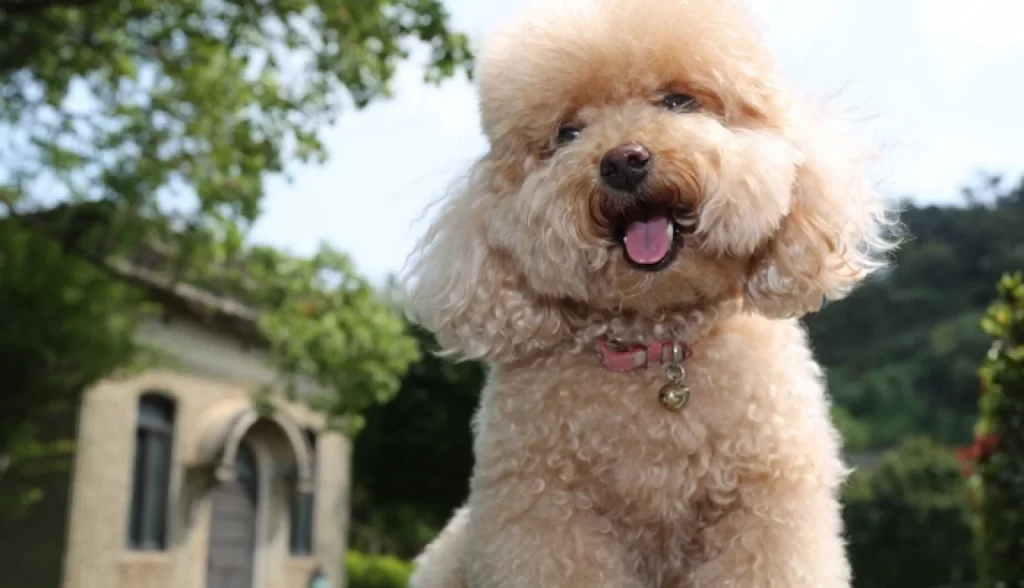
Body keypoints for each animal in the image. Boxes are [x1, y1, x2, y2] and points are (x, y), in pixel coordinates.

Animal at [403, 0, 892, 585]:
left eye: (679, 101)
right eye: (568, 133)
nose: (621, 162)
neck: (657, 346)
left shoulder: (765, 505)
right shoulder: (547, 514)